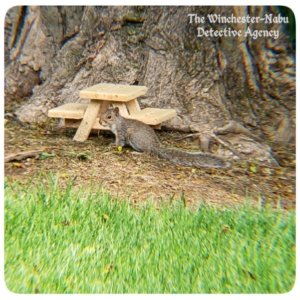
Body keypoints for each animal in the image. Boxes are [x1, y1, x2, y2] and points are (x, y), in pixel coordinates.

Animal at [99, 106, 231, 169]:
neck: (115, 123)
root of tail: (155, 146)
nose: (100, 121)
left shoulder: (121, 132)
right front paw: (112, 144)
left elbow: (120, 143)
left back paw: (138, 153)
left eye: (109, 116)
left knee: (148, 152)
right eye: (102, 113)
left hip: (136, 138)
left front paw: (113, 147)